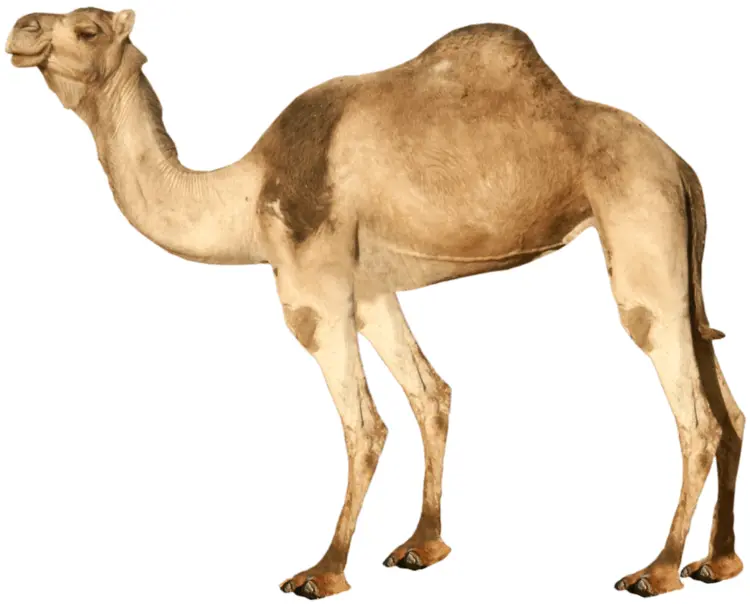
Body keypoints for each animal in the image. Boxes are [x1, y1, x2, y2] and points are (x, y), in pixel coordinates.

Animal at [5, 7, 745, 600]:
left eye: (88, 28)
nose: (22, 28)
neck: (245, 195)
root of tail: (680, 165)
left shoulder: (313, 286)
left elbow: (364, 425)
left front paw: (324, 570)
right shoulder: (370, 287)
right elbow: (430, 394)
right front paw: (423, 545)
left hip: (639, 217)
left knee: (693, 412)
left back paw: (658, 569)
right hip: (676, 248)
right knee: (727, 404)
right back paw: (718, 562)